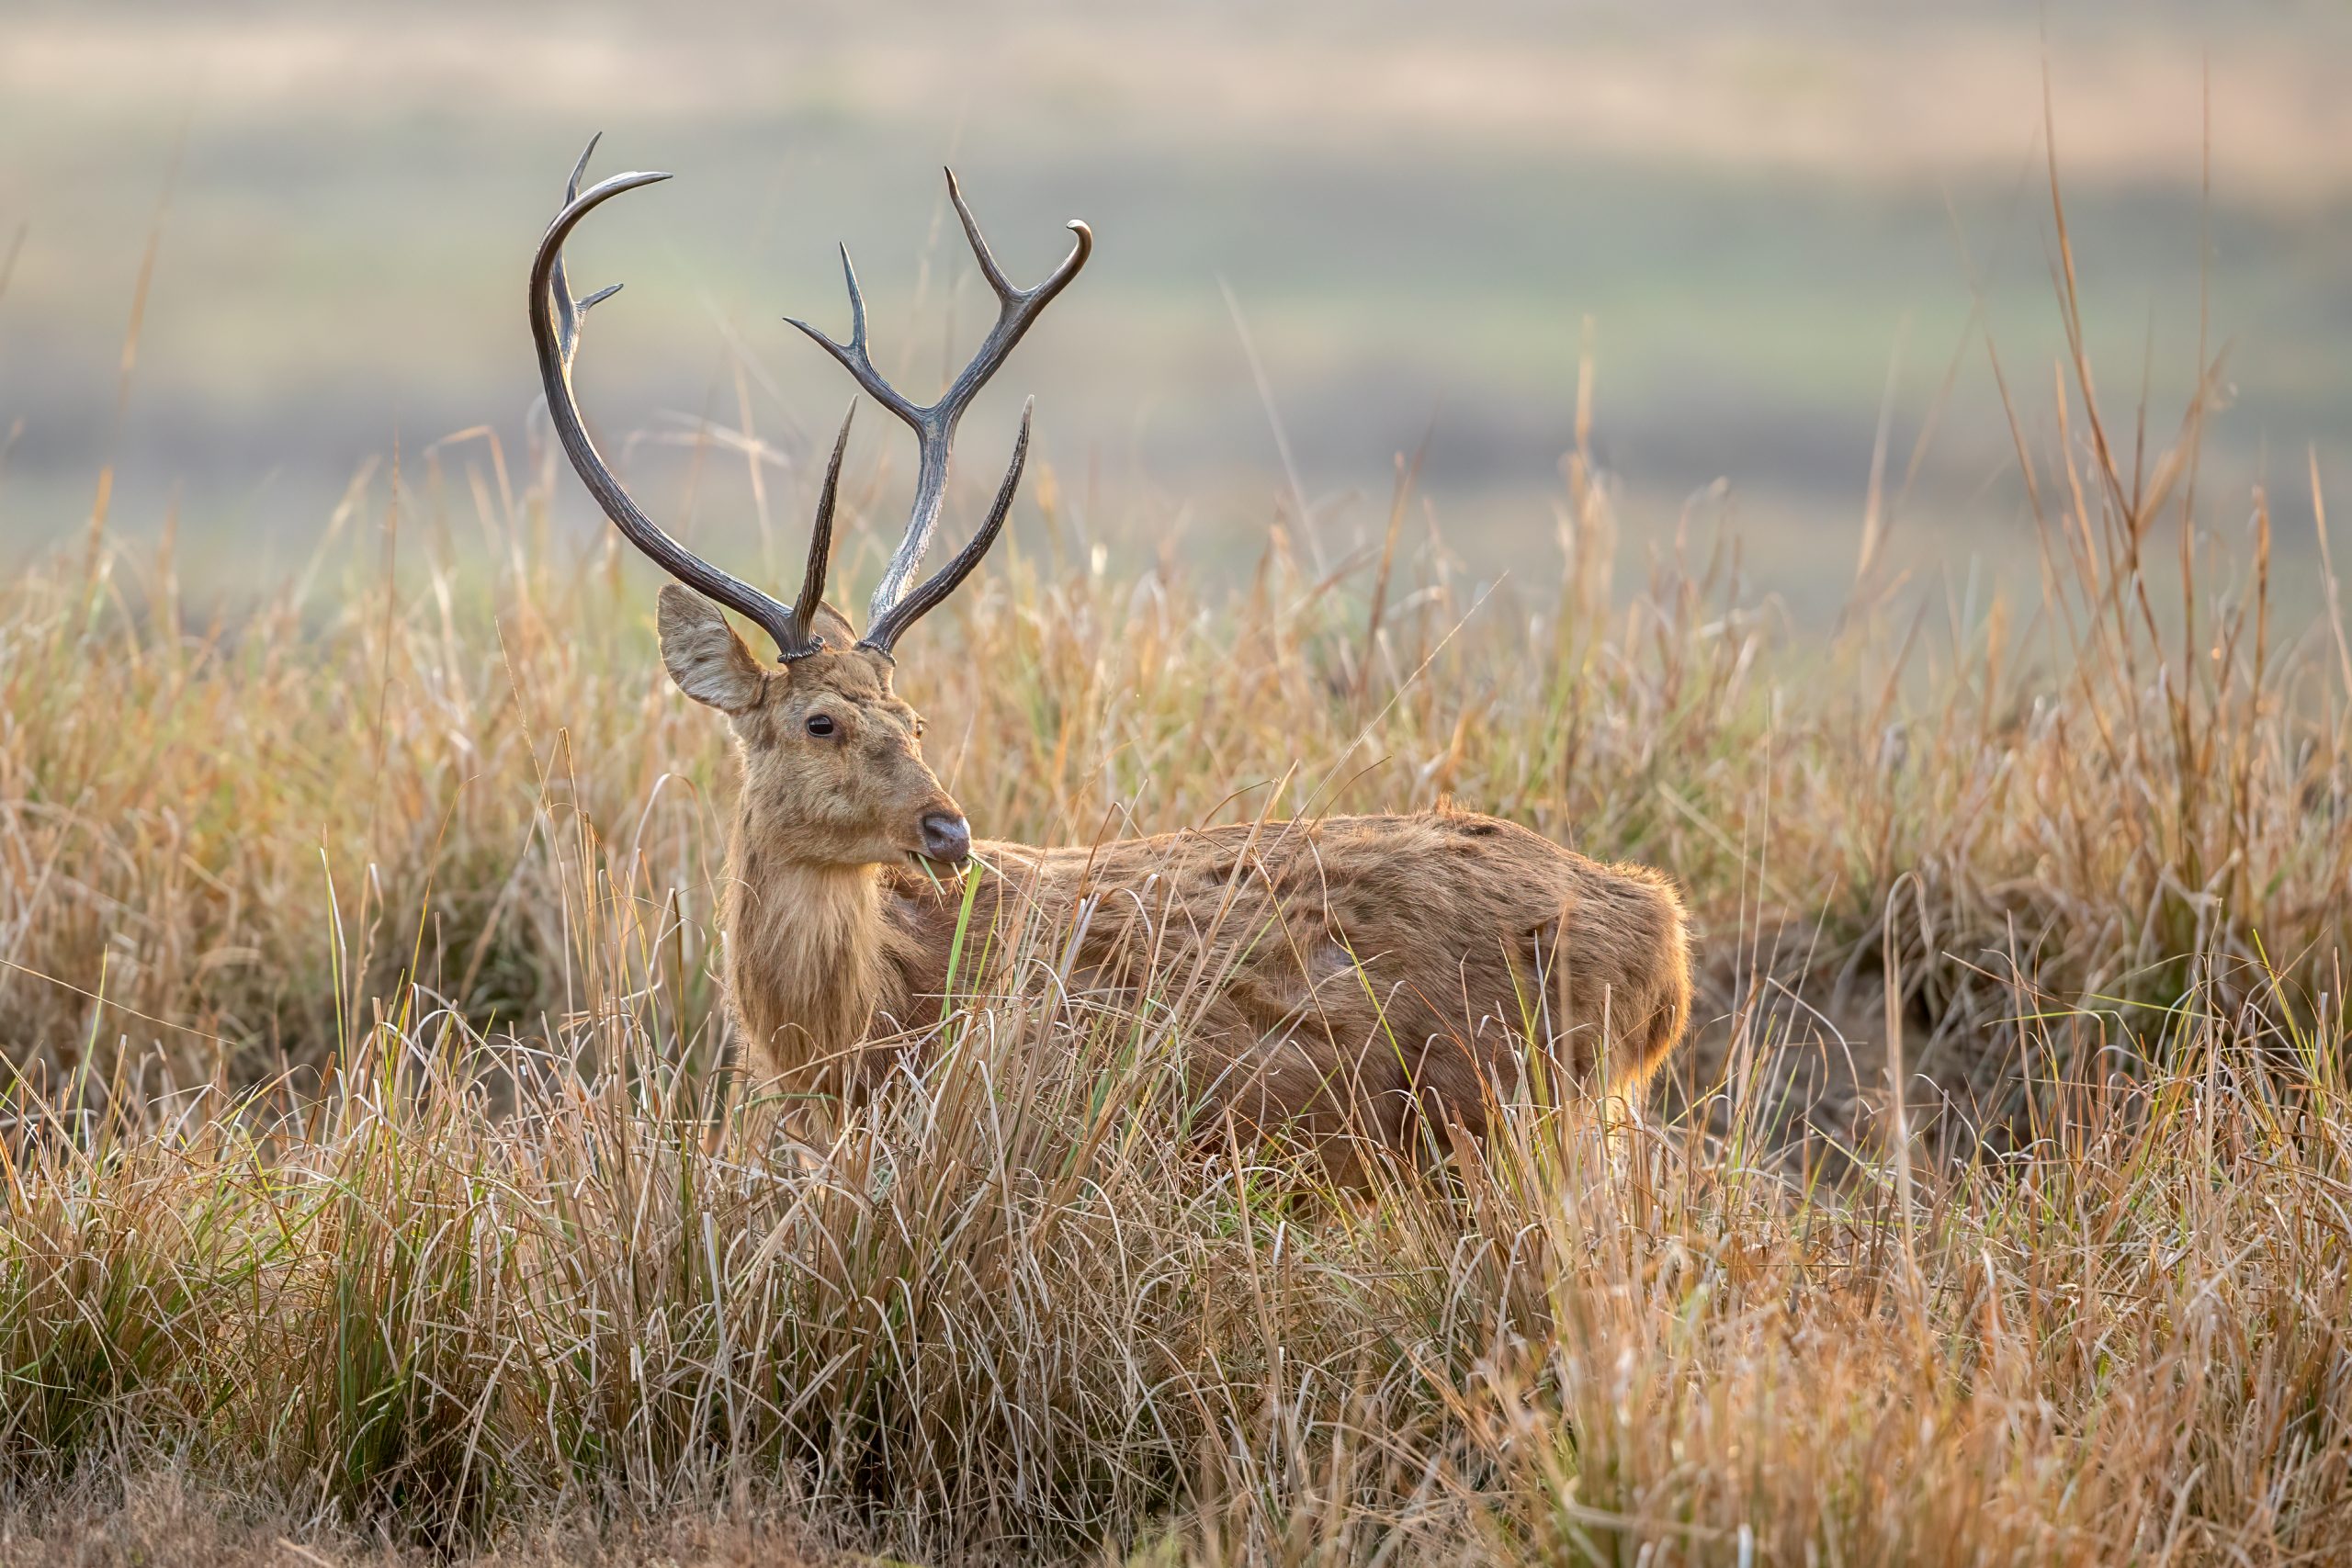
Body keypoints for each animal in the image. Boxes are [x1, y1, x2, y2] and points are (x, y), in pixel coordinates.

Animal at [529, 143, 1693, 1175]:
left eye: (913, 719)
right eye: (824, 721)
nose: (948, 830)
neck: (865, 1037)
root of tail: (1663, 942)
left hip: (1508, 1110)